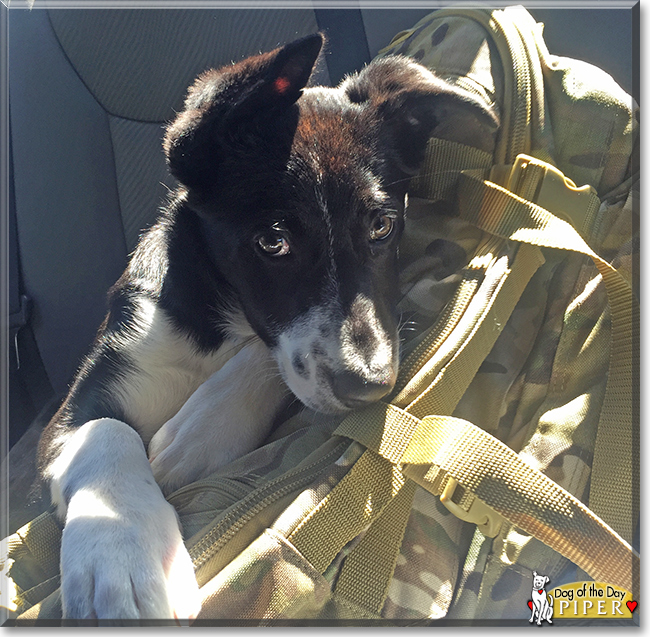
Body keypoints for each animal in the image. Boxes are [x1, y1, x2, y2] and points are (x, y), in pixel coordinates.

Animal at [38, 34, 494, 620]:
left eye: (382, 225)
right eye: (273, 241)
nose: (371, 387)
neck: (222, 322)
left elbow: (278, 360)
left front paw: (199, 433)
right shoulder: (79, 402)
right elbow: (106, 429)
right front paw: (122, 556)